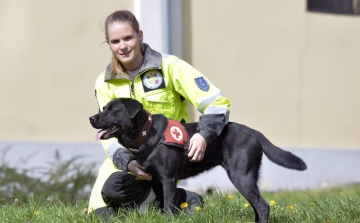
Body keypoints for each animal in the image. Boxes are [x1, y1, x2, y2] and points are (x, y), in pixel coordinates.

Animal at [90, 98, 306, 223]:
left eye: (112, 110)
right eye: (103, 108)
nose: (91, 118)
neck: (146, 133)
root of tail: (256, 133)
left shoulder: (168, 179)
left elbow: (168, 207)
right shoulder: (157, 181)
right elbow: (166, 204)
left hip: (241, 175)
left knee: (262, 205)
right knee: (257, 205)